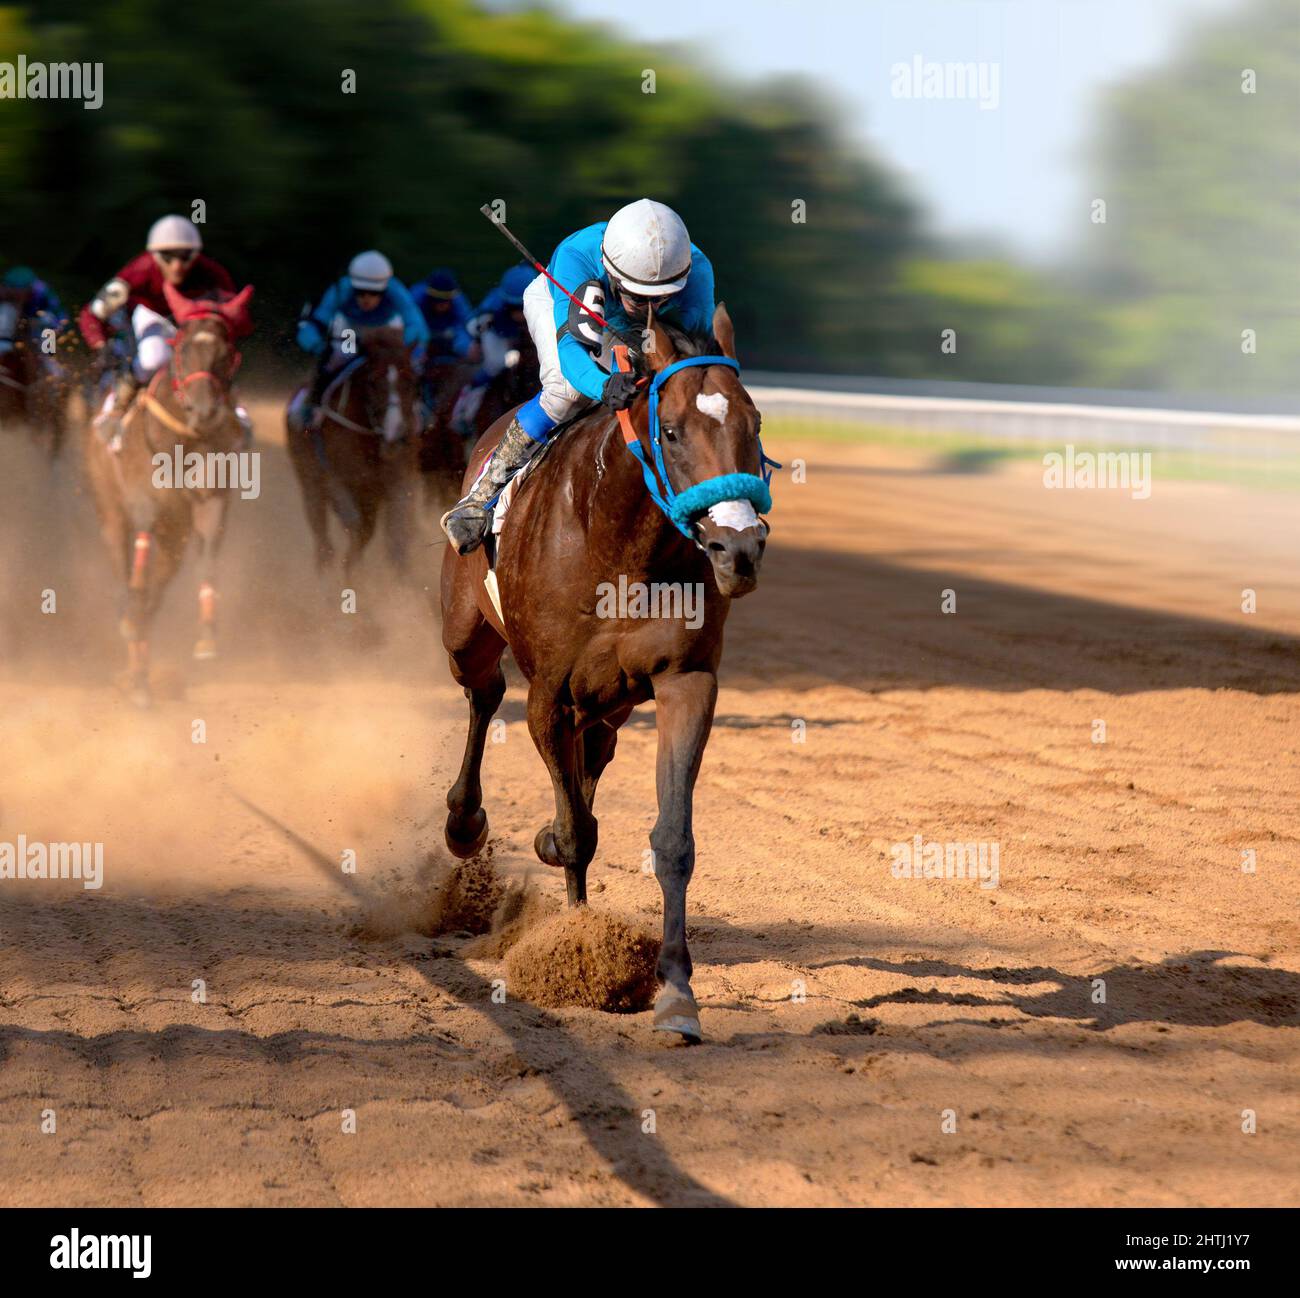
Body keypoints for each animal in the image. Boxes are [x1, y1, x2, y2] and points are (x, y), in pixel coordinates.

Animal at [82, 282, 254, 707]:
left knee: (156, 591)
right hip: (110, 512)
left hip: (175, 535)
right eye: (182, 348)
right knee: (126, 573)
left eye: (227, 352)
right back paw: (135, 662)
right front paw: (131, 619)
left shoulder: (211, 500)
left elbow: (207, 557)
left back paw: (141, 673)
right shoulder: (143, 495)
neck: (187, 438)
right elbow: (140, 555)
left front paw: (207, 637)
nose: (204, 410)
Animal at [285, 326, 421, 581]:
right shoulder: (336, 480)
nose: (395, 433)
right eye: (373, 382)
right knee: (323, 541)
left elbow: (397, 535)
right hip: (311, 485)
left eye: (410, 381)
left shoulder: (398, 481)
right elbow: (357, 527)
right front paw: (353, 575)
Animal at [439, 304, 773, 1042]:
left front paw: (675, 993)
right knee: (483, 694)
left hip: (612, 704)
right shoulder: (549, 695)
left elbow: (670, 840)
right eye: (671, 432)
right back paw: (465, 823)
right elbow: (573, 832)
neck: (619, 542)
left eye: (755, 425)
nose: (737, 549)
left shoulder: (687, 681)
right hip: (465, 632)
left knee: (593, 753)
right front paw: (576, 951)